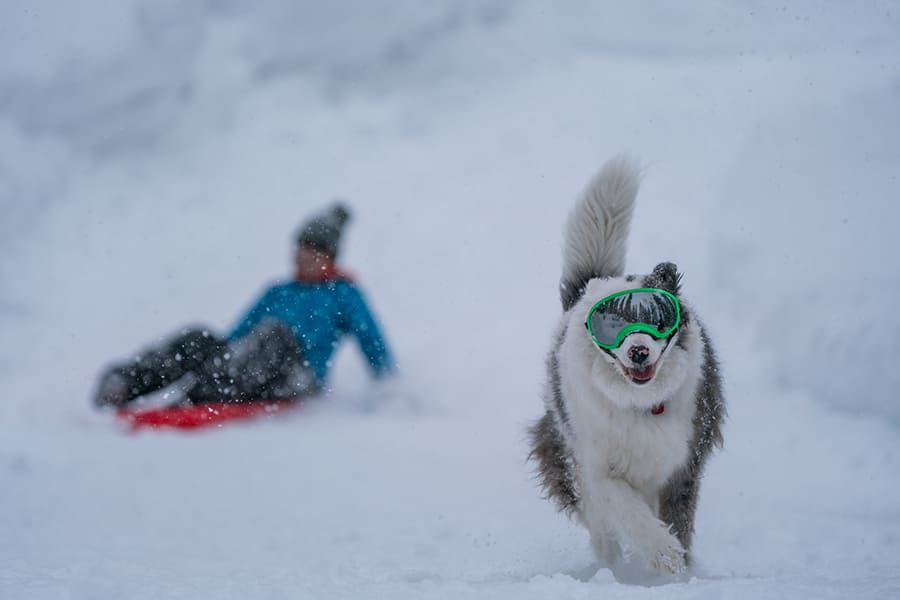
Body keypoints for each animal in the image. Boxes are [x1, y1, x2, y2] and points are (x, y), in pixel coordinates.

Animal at [528, 157, 724, 576]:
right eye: (612, 325)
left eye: (656, 317)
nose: (638, 352)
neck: (642, 404)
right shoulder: (598, 465)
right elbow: (628, 510)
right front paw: (664, 555)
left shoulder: (684, 459)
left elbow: (679, 517)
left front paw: (683, 571)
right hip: (566, 454)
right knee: (601, 526)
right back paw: (611, 565)